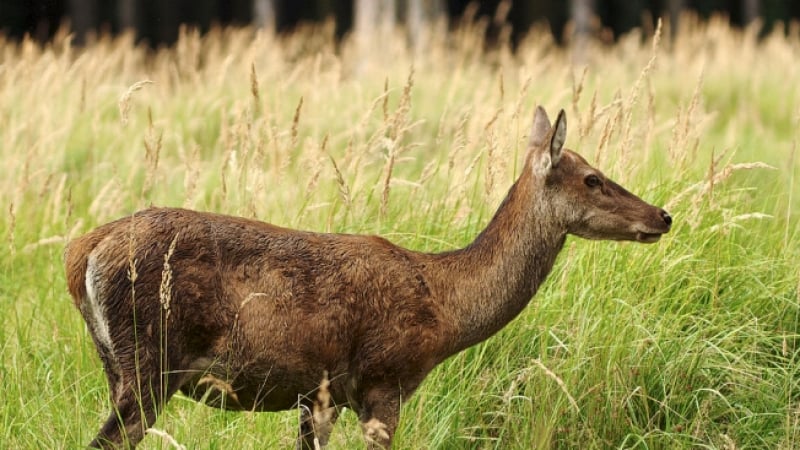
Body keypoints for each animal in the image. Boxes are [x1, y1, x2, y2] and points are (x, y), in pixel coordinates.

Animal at [65, 105, 672, 446]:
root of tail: (82, 254)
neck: (446, 306)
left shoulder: (318, 395)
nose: (663, 215)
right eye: (593, 178)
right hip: (150, 361)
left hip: (116, 364)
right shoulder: (385, 380)